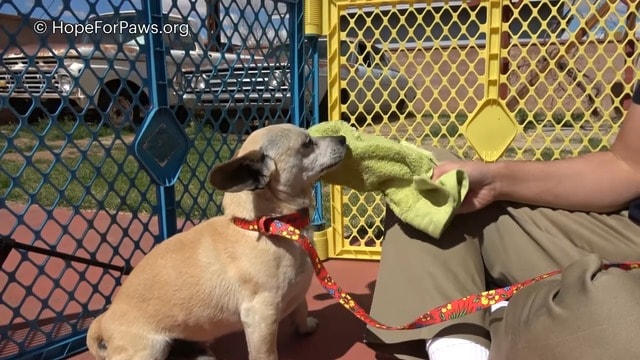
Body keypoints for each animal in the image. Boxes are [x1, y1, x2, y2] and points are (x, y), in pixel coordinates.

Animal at [85, 122, 348, 358]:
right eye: (307, 144)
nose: (343, 138)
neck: (275, 224)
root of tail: (103, 321)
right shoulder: (260, 315)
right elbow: (266, 353)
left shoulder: (293, 296)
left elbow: (301, 307)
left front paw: (306, 326)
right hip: (151, 349)